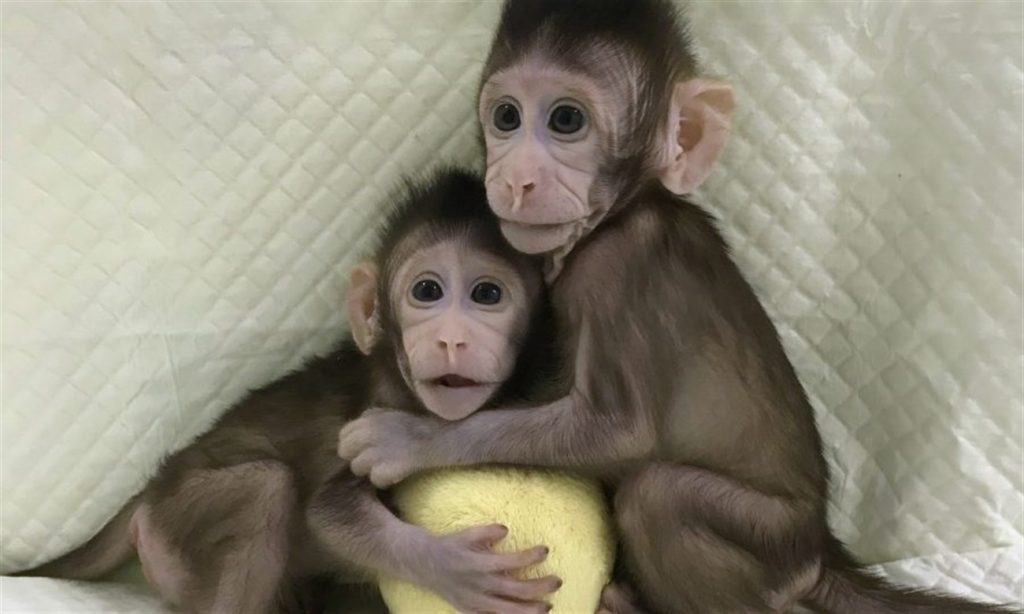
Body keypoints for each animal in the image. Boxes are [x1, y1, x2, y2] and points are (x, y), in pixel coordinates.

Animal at [17, 167, 563, 614]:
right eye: (427, 291)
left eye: (487, 294)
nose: (451, 338)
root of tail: (151, 490)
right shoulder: (375, 411)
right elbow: (329, 512)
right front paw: (451, 568)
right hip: (179, 515)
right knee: (266, 488)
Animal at [337, 2, 1017, 613]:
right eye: (506, 116)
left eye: (565, 120)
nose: (515, 178)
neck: (628, 209)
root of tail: (819, 552)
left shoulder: (614, 268)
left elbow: (619, 429)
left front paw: (409, 439)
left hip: (768, 541)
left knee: (658, 495)